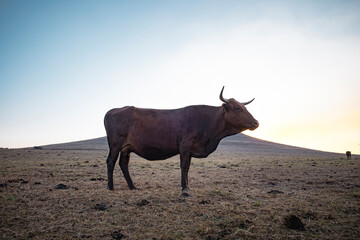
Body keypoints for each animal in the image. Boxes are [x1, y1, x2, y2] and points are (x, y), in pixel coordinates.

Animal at [104, 86, 258, 191]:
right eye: (238, 108)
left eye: (244, 107)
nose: (256, 122)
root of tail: (113, 110)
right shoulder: (185, 146)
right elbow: (184, 166)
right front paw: (184, 188)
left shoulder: (190, 150)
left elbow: (188, 167)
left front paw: (187, 186)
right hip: (115, 145)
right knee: (111, 161)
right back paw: (111, 187)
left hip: (126, 148)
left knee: (123, 164)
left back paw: (132, 186)